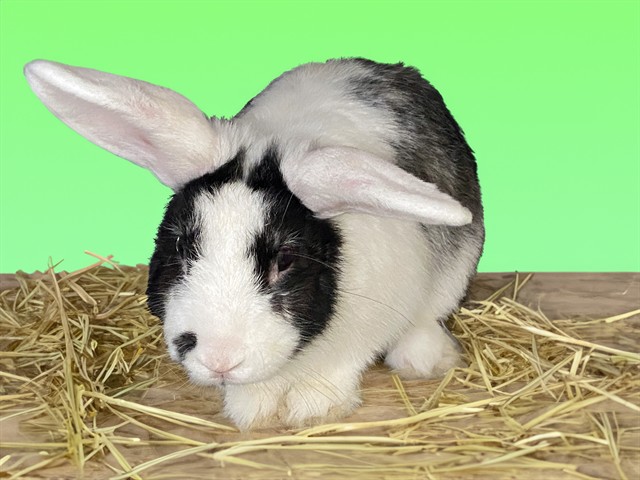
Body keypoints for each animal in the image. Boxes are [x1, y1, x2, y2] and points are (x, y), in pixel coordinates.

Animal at [24, 58, 484, 429]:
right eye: (182, 246)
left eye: (285, 260)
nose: (219, 359)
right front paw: (255, 411)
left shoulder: (368, 324)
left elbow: (338, 368)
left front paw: (313, 409)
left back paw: (423, 360)